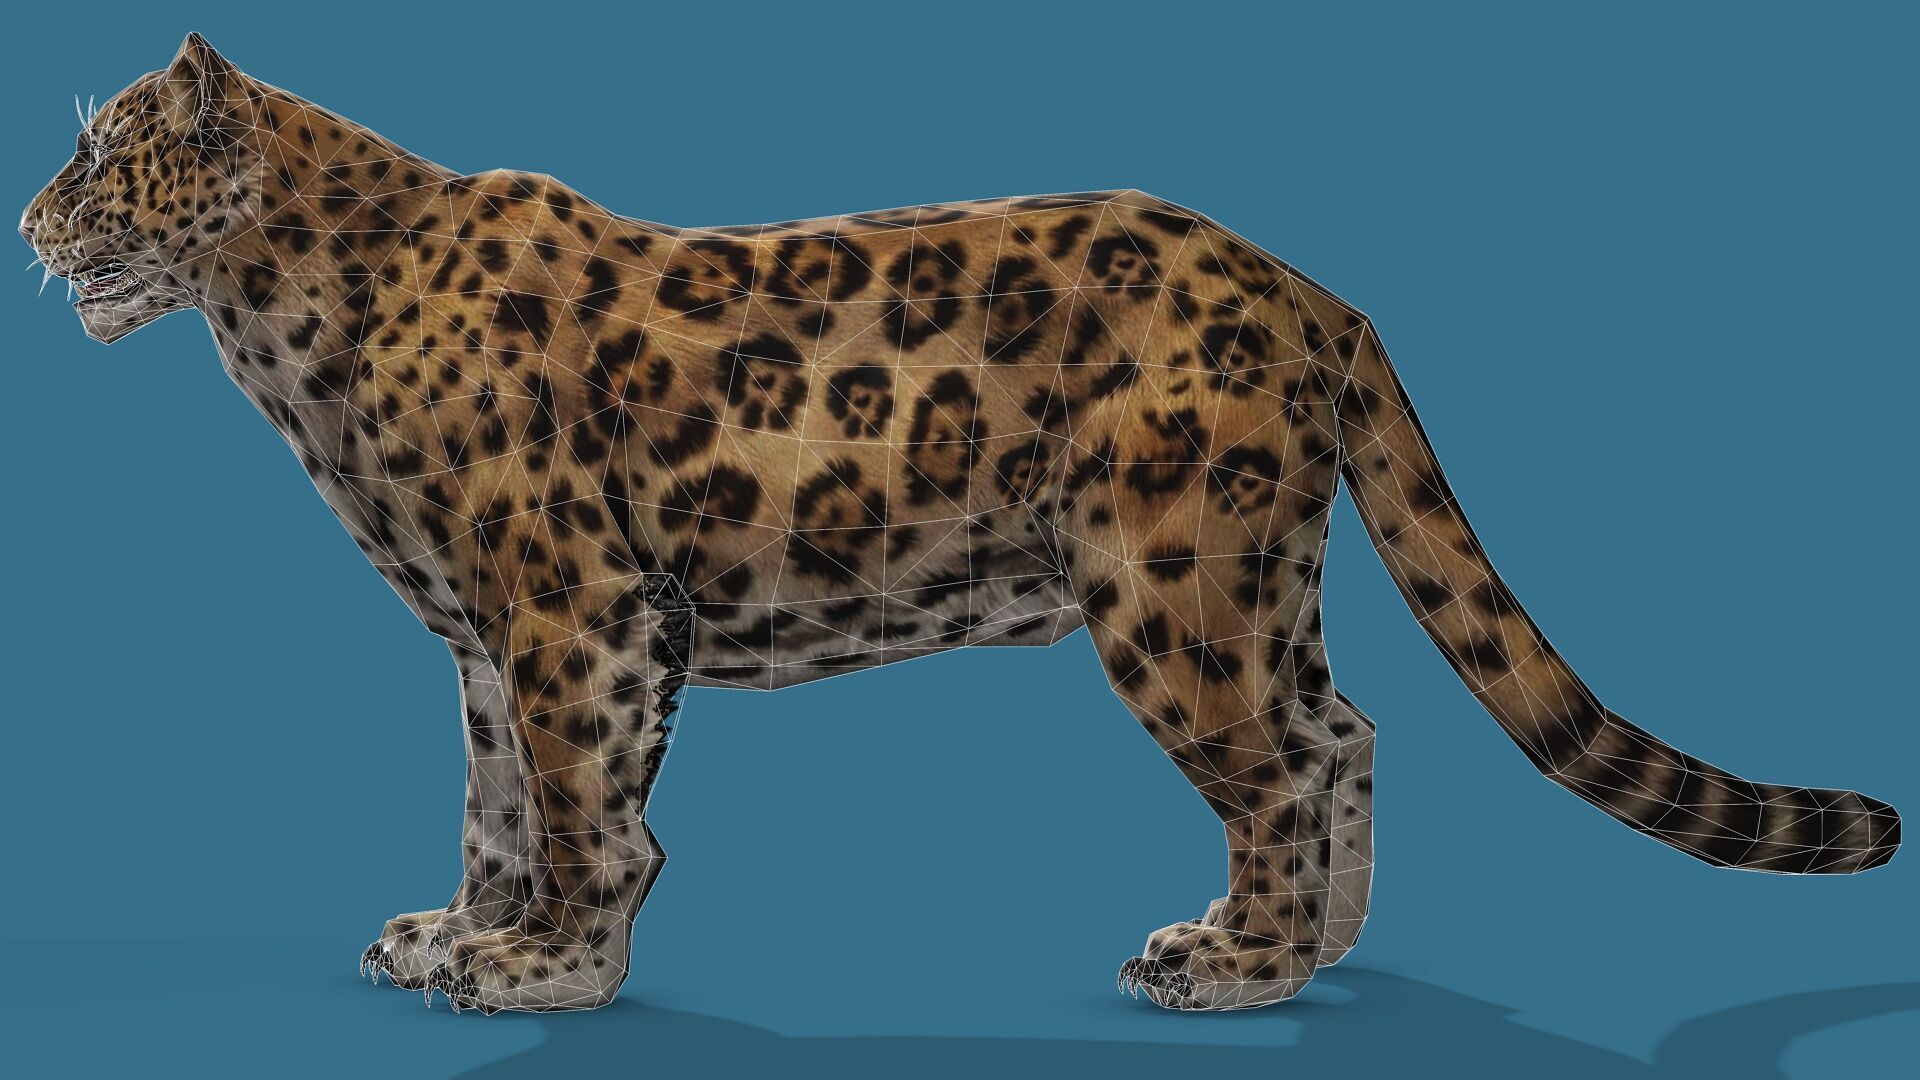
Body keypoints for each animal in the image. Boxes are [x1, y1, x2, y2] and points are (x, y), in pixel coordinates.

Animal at [22, 35, 1900, 1014]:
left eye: (102, 158)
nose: (29, 221)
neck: (280, 317)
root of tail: (1307, 286)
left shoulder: (578, 609)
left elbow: (580, 804)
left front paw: (549, 965)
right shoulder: (487, 637)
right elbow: (496, 800)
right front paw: (460, 933)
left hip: (1168, 582)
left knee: (1284, 766)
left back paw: (1235, 964)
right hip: (1252, 582)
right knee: (1342, 730)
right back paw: (1313, 949)